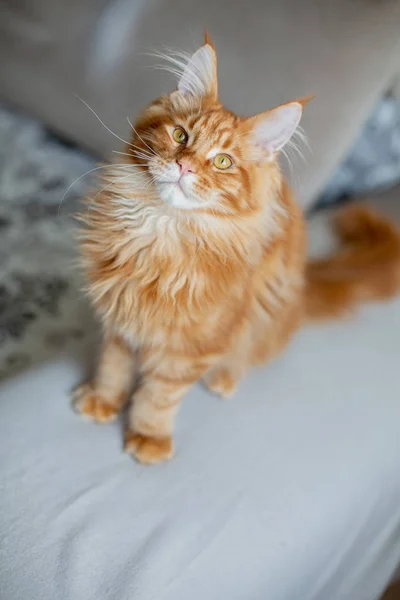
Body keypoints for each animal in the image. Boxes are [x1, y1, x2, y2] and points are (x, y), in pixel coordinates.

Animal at [73, 35, 400, 466]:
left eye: (223, 162)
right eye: (181, 137)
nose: (185, 167)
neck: (163, 231)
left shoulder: (195, 345)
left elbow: (159, 396)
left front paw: (148, 437)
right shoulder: (122, 320)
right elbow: (113, 367)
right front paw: (103, 399)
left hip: (266, 310)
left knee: (251, 354)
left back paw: (224, 377)